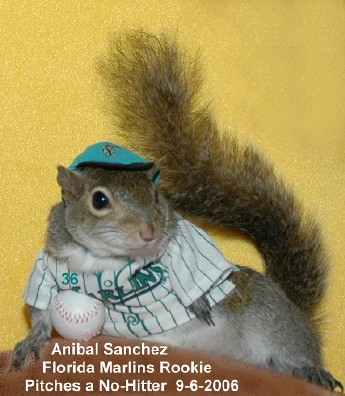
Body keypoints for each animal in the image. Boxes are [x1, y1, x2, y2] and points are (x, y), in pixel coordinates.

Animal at [11, 30, 342, 390]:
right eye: (99, 201)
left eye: (156, 196)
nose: (149, 233)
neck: (108, 261)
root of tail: (293, 306)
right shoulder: (51, 263)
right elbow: (40, 306)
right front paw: (33, 339)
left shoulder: (181, 243)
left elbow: (197, 269)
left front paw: (199, 299)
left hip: (273, 322)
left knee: (294, 352)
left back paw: (310, 370)